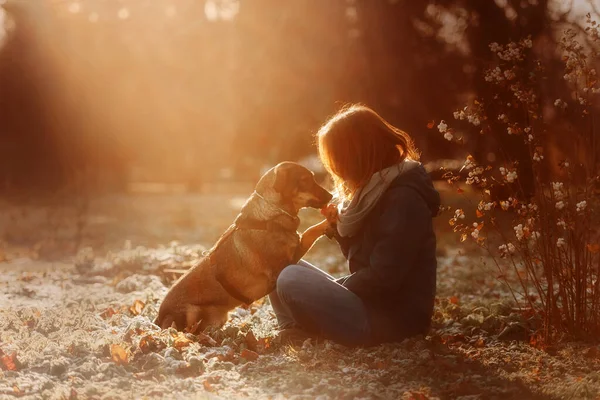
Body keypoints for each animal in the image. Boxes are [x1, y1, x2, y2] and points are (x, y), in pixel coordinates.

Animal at [155, 161, 332, 332]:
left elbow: (308, 232)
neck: (270, 215)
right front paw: (329, 220)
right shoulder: (283, 265)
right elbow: (310, 232)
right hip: (191, 312)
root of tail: (157, 320)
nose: (331, 195)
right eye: (305, 180)